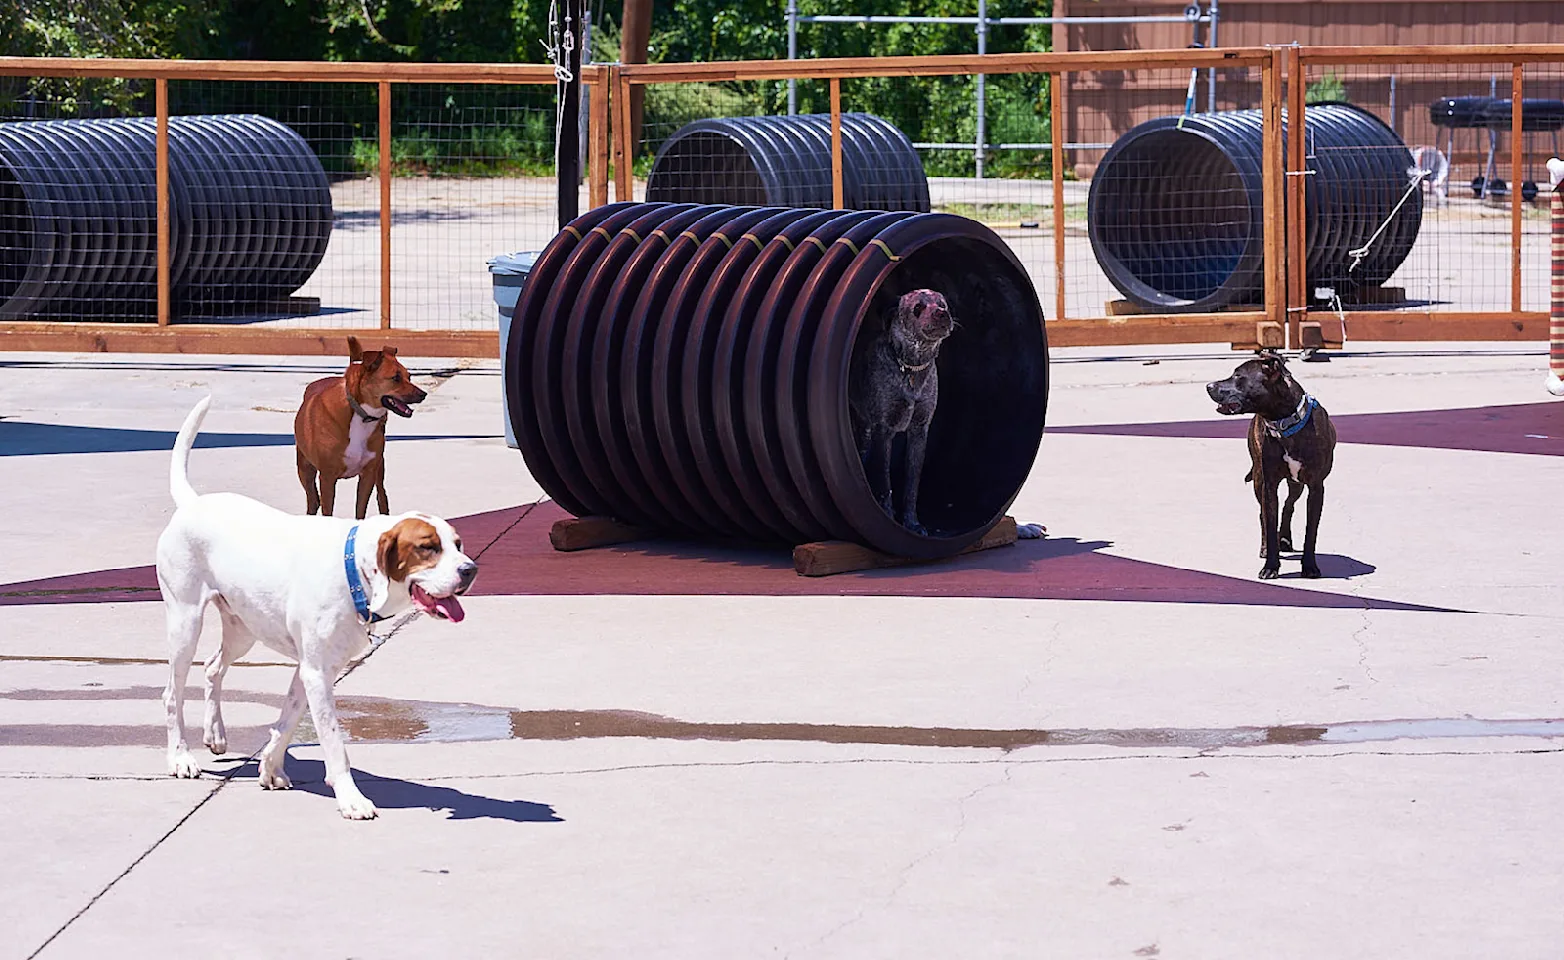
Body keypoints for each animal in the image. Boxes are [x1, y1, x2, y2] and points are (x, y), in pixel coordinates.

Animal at [159, 397, 478, 819]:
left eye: (458, 544)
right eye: (428, 548)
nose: (471, 570)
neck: (352, 571)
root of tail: (192, 503)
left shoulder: (311, 669)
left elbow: (287, 721)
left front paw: (270, 767)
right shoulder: (315, 672)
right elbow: (333, 744)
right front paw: (351, 799)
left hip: (243, 629)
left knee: (213, 668)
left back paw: (216, 734)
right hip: (185, 622)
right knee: (172, 694)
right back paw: (180, 758)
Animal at [294, 336, 425, 519]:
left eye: (409, 377)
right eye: (395, 378)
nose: (423, 394)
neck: (361, 415)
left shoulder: (368, 473)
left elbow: (360, 509)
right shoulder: (327, 477)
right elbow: (328, 510)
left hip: (380, 468)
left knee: (382, 496)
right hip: (304, 468)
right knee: (313, 500)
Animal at [850, 289, 957, 537]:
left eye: (943, 304)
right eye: (918, 307)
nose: (942, 314)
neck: (911, 368)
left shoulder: (919, 431)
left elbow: (911, 485)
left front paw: (912, 523)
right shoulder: (883, 431)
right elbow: (884, 483)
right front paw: (888, 519)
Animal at [1201, 353, 1338, 578]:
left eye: (1238, 375)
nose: (1208, 385)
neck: (1284, 423)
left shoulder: (1316, 487)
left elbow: (1311, 531)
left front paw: (1309, 566)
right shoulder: (1269, 484)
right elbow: (1269, 519)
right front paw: (1270, 566)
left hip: (1296, 484)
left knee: (1289, 505)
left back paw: (1285, 538)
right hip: (1258, 477)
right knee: (1263, 514)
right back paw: (1267, 546)